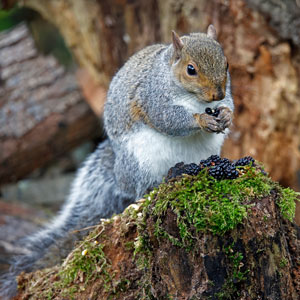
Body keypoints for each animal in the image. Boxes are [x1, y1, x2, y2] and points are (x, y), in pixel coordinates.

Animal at [0, 24, 233, 298]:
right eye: (191, 69)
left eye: (227, 63)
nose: (217, 93)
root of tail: (119, 172)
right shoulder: (153, 97)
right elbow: (168, 119)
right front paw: (201, 119)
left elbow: (229, 105)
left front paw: (226, 115)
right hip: (141, 163)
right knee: (141, 189)